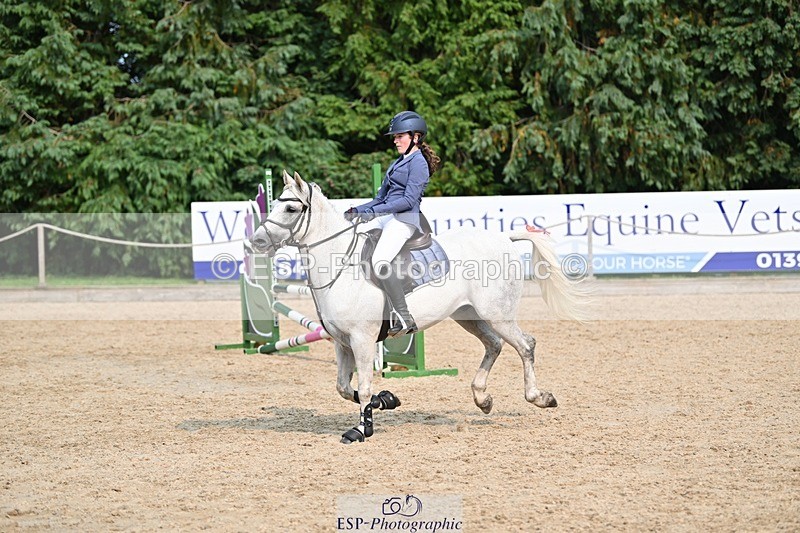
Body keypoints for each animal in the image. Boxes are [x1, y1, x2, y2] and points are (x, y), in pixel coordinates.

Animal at [251, 171, 590, 444]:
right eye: (275, 203)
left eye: (291, 207)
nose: (257, 242)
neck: (340, 265)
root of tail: (504, 238)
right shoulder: (342, 343)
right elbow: (344, 388)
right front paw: (387, 399)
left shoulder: (362, 340)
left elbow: (362, 387)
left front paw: (361, 430)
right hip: (467, 315)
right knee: (494, 345)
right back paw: (483, 399)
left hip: (498, 314)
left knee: (525, 345)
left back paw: (540, 397)